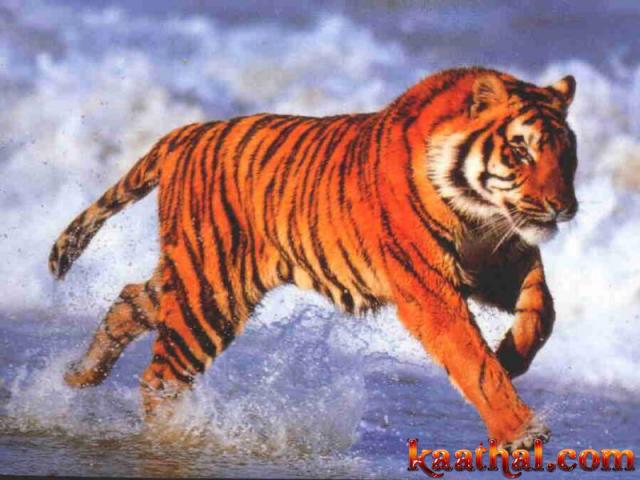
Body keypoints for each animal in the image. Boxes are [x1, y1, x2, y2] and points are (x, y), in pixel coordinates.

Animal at [49, 66, 578, 450]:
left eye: (567, 154)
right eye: (521, 151)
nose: (563, 207)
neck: (480, 213)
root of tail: (187, 133)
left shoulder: (501, 259)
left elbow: (543, 312)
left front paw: (511, 356)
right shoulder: (428, 287)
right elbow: (471, 358)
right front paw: (521, 431)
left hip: (193, 278)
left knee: (130, 299)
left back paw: (78, 375)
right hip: (211, 294)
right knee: (160, 377)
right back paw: (170, 436)